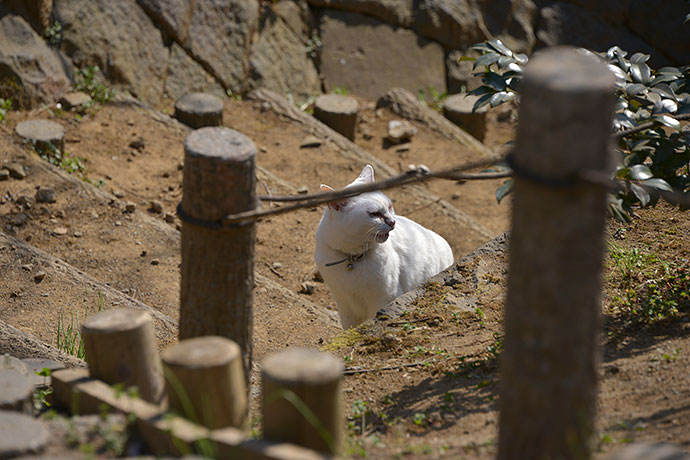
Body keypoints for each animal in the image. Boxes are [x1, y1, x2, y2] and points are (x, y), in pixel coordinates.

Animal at [314, 164, 454, 328]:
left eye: (389, 206)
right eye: (374, 214)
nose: (392, 222)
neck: (353, 257)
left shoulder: (384, 298)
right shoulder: (345, 304)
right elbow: (349, 326)